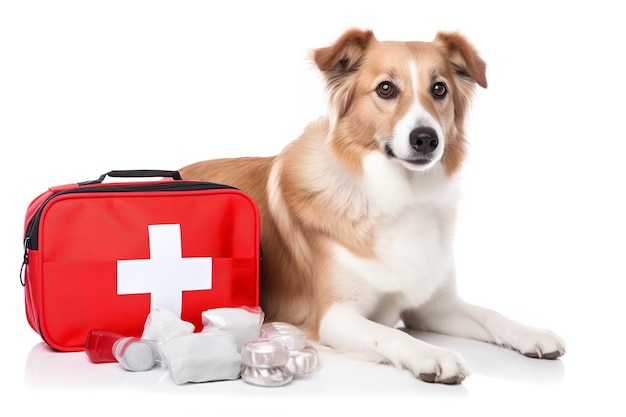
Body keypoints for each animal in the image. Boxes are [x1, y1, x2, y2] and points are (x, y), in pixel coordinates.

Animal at [178, 29, 564, 384]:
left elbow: (489, 314)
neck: (400, 195)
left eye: (439, 89)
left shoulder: (434, 307)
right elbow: (388, 333)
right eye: (385, 89)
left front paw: (532, 333)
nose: (426, 139)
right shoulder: (335, 315)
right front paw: (433, 354)